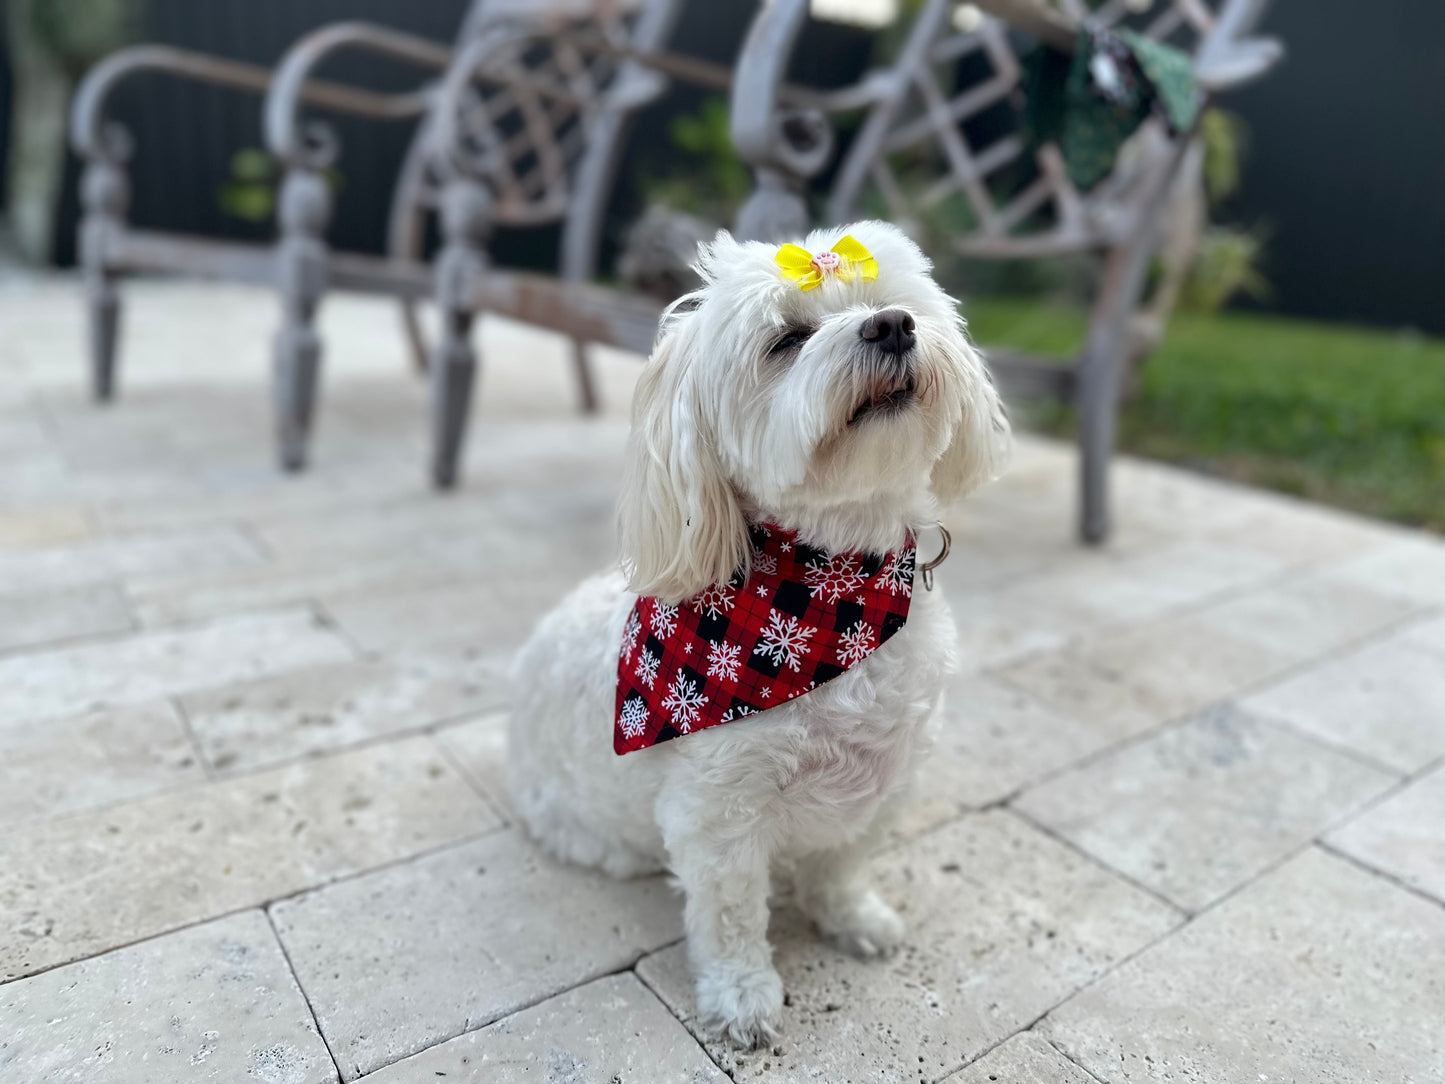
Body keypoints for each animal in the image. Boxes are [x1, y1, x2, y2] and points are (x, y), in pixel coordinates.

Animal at [514, 218, 1011, 1046]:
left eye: (891, 302)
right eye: (786, 340)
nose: (891, 326)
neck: (830, 603)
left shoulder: (887, 774)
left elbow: (843, 862)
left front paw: (852, 917)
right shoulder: (718, 814)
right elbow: (731, 914)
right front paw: (742, 999)